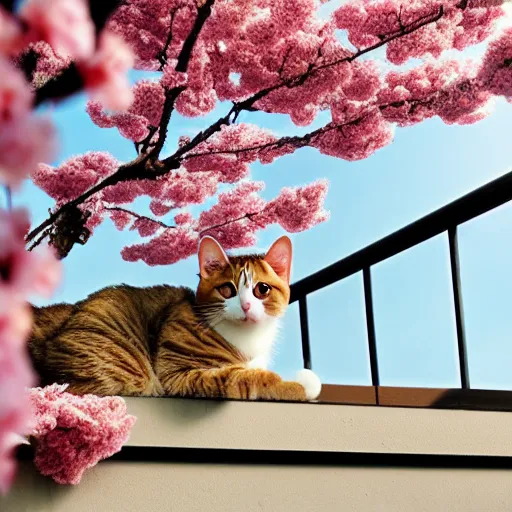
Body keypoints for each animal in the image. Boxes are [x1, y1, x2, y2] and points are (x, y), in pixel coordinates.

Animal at [27, 235, 320, 400]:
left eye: (262, 289)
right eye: (228, 290)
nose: (246, 306)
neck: (248, 338)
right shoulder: (178, 373)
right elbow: (248, 377)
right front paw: (301, 384)